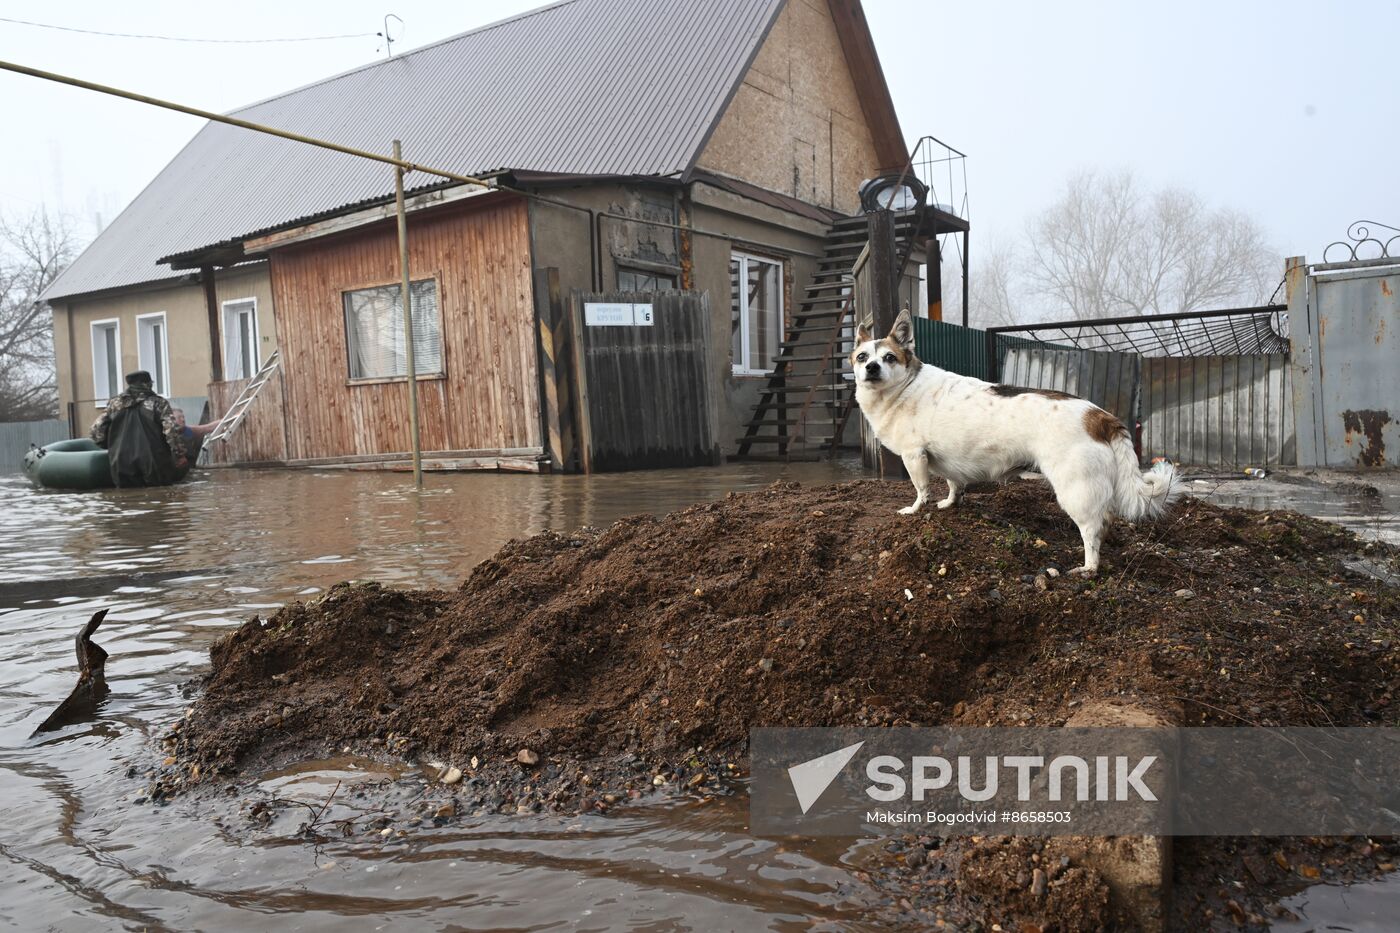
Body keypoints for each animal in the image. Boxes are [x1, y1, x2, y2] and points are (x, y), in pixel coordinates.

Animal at [856, 311, 1176, 574]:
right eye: (861, 357)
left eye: (889, 358)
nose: (871, 368)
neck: (905, 387)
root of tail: (1099, 416)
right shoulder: (947, 463)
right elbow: (953, 484)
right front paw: (949, 503)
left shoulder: (914, 457)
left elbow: (921, 491)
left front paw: (914, 511)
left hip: (1076, 492)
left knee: (1093, 530)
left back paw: (1088, 567)